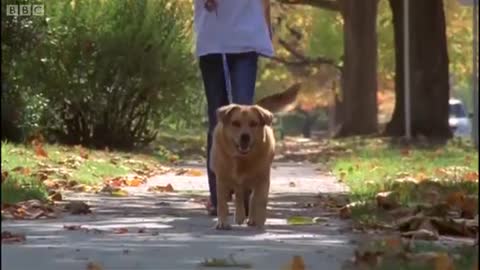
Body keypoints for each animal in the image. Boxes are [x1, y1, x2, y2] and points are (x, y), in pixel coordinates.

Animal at [210, 83, 300, 229]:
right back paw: (240, 215)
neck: (242, 160)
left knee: (251, 198)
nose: (245, 136)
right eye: (235, 123)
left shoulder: (262, 179)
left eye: (253, 123)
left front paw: (259, 219)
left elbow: (259, 200)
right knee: (239, 195)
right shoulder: (222, 179)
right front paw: (223, 222)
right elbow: (222, 203)